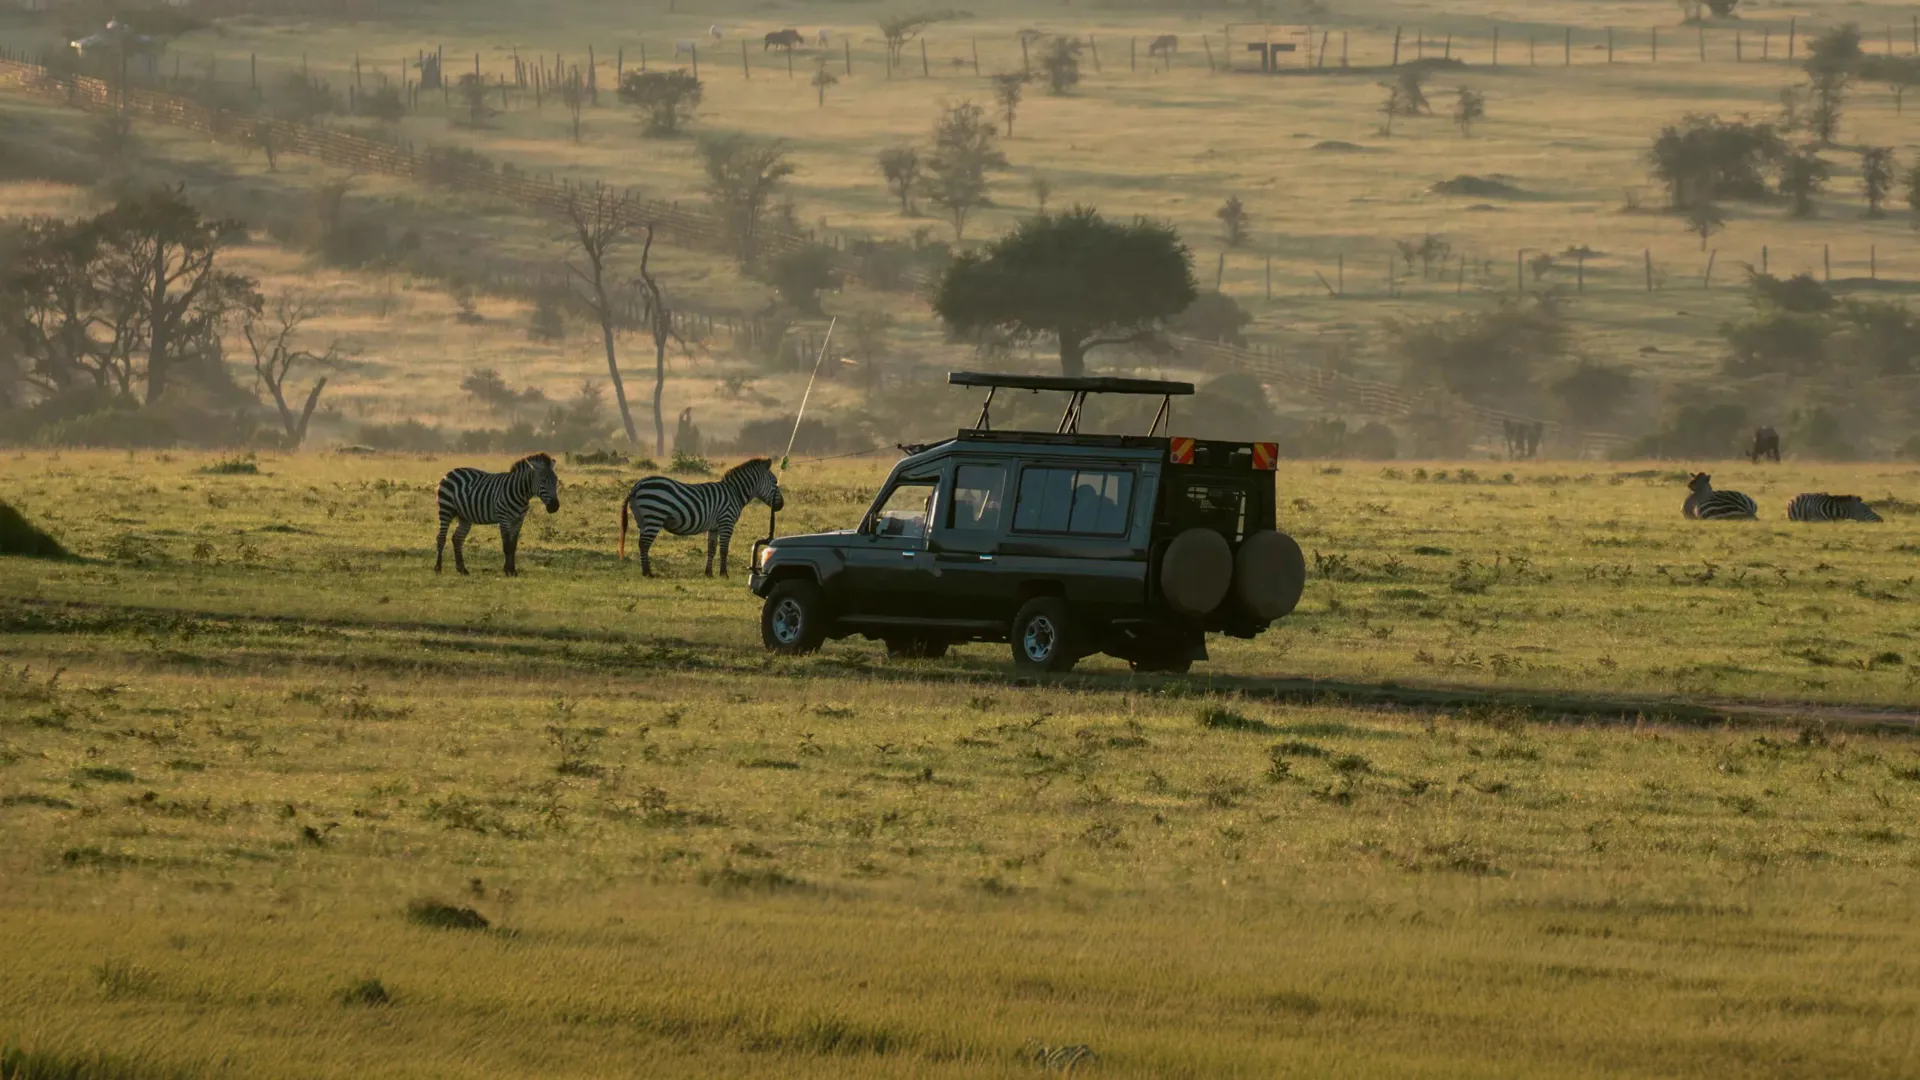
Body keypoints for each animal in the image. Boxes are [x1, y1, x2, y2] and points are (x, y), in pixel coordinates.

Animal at [619, 457, 784, 577]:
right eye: (775, 482)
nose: (781, 505)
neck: (734, 492)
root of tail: (637, 486)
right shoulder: (727, 522)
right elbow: (724, 550)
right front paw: (724, 574)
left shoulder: (714, 527)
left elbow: (711, 549)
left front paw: (708, 573)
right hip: (655, 516)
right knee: (644, 544)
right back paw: (648, 573)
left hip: (642, 520)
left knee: (641, 543)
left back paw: (645, 571)